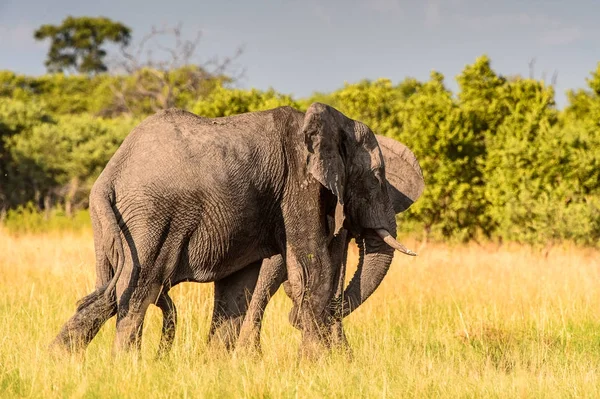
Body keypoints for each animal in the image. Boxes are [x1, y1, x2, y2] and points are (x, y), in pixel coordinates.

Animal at [51, 104, 414, 360]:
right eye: (377, 177)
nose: (293, 316)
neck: (333, 122)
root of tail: (111, 173)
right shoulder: (300, 184)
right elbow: (311, 269)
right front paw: (315, 365)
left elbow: (238, 287)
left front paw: (218, 366)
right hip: (151, 216)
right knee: (139, 287)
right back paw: (126, 365)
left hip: (111, 224)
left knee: (109, 290)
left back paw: (61, 358)